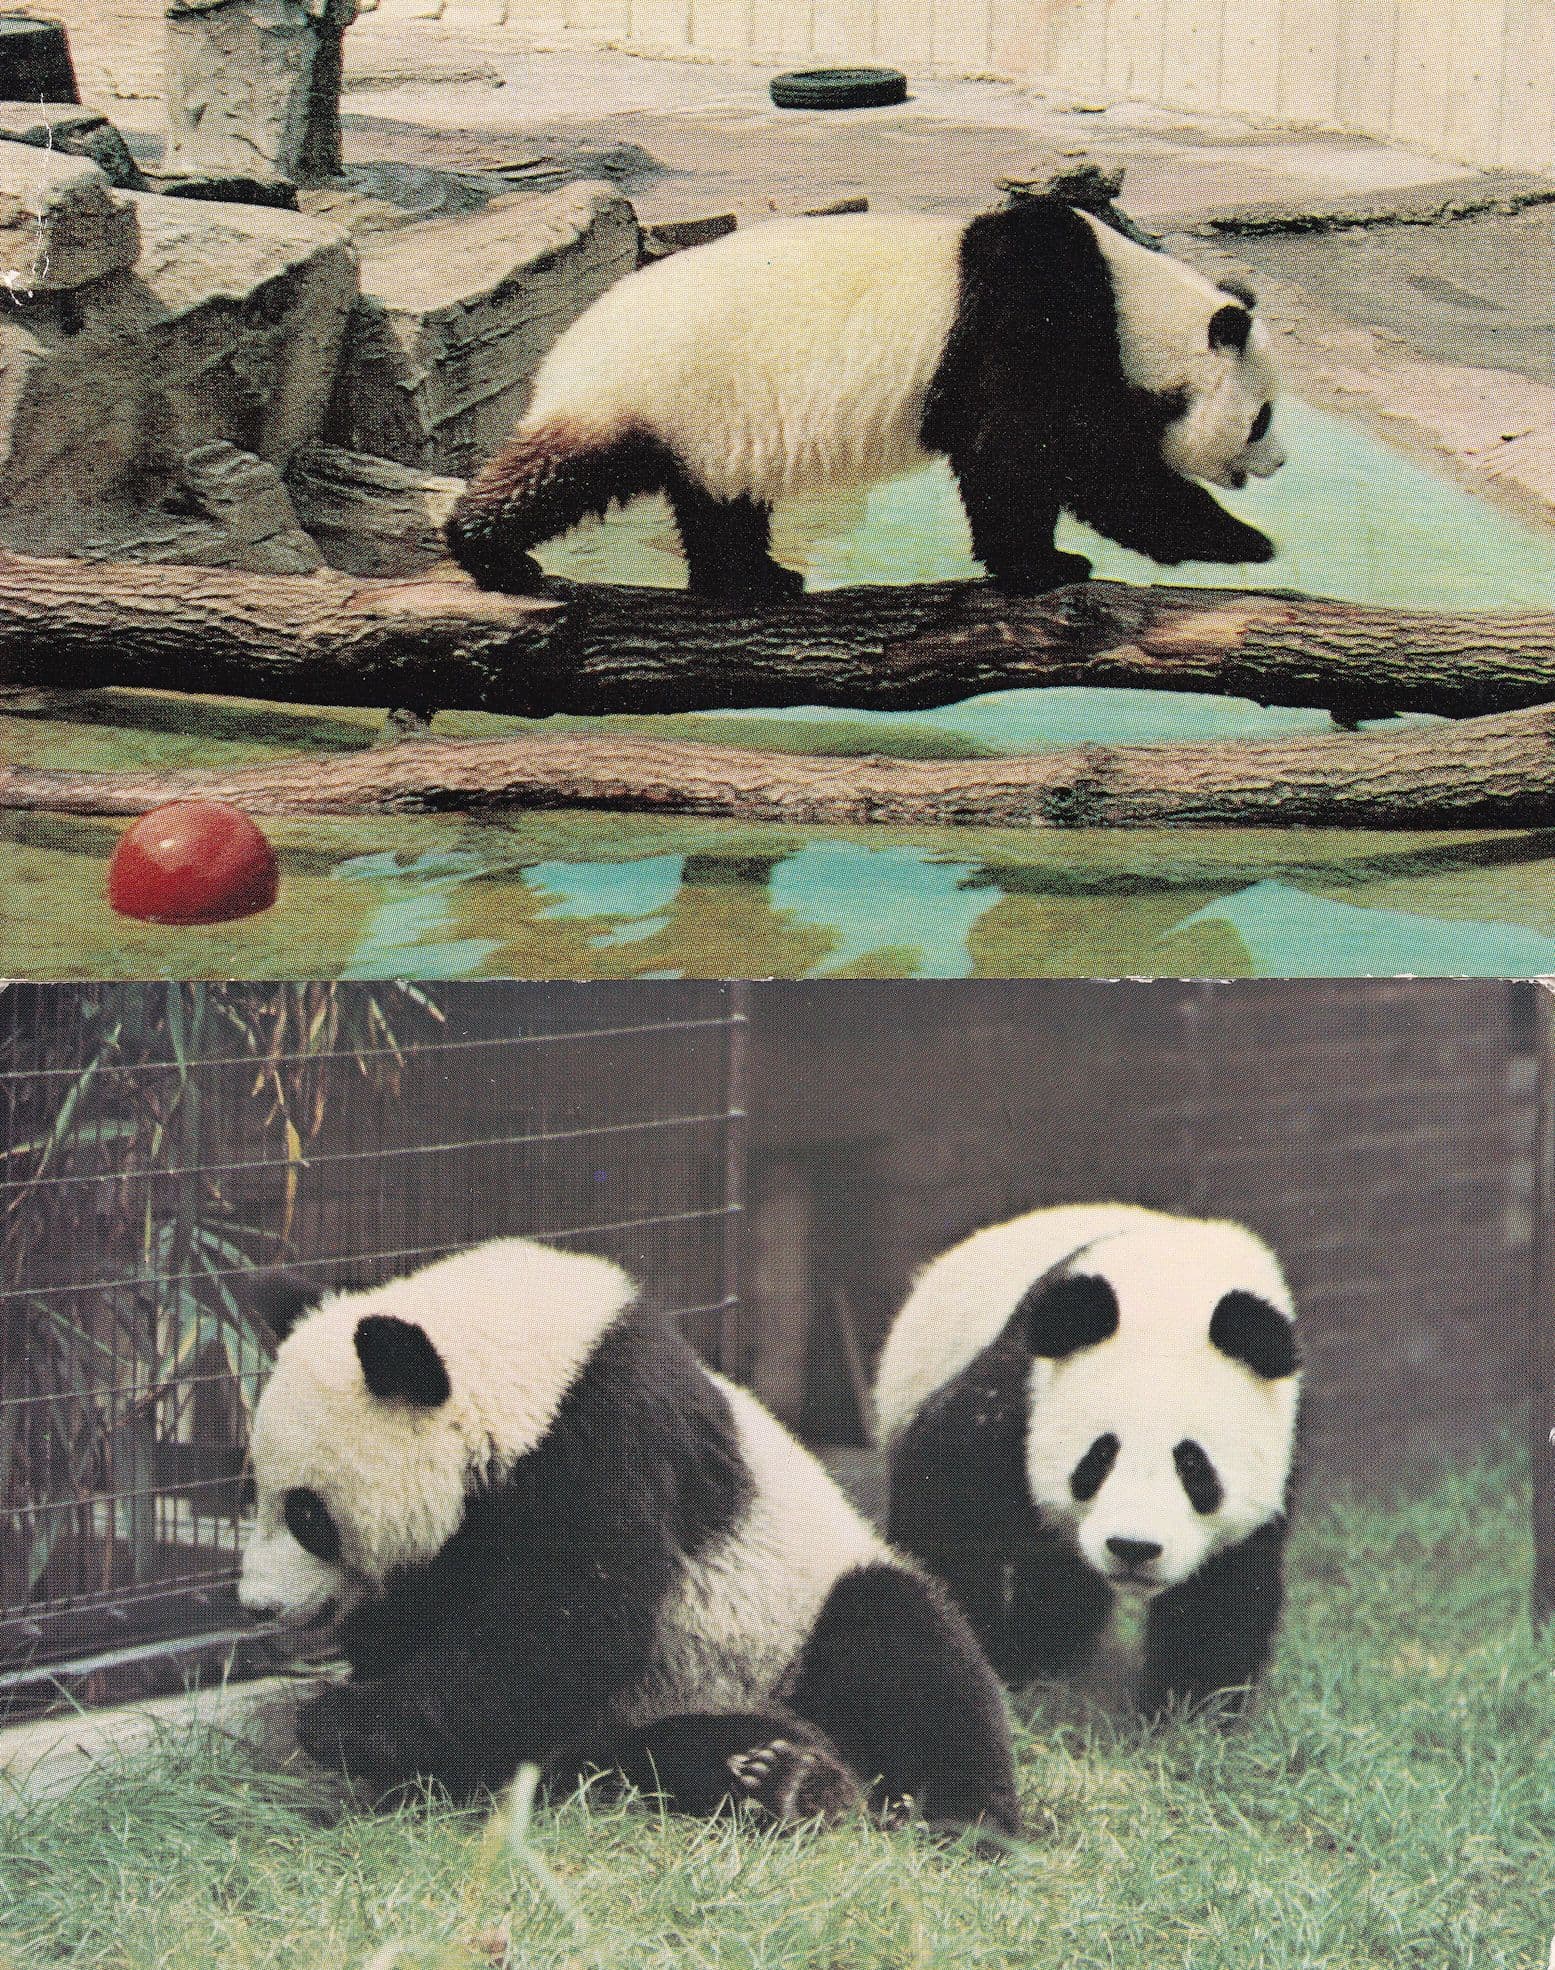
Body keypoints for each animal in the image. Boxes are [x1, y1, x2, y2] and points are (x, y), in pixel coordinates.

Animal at [238, 1237, 1021, 1843]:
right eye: (255, 1490)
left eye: (307, 1515)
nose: (256, 1605)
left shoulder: (612, 1437)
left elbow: (572, 1631)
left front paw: (338, 1721)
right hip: (659, 1708)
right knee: (649, 1755)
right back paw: (777, 1774)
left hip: (798, 1608)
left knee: (900, 1638)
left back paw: (952, 1814)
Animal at [444, 196, 1284, 602]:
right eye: (1263, 417)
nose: (1277, 463)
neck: (1135, 305)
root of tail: (559, 347)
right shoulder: (1028, 309)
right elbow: (1043, 452)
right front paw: (1241, 541)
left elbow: (1025, 458)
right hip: (649, 384)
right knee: (566, 469)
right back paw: (491, 553)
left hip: (712, 420)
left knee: (716, 499)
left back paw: (752, 580)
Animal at [874, 1204, 1300, 1717]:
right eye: (1100, 1455)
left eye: (1193, 1466)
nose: (1133, 1548)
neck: (1173, 1290)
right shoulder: (1020, 1396)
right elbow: (947, 1504)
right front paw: (981, 1660)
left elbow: (1222, 1594)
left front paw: (1187, 1716)